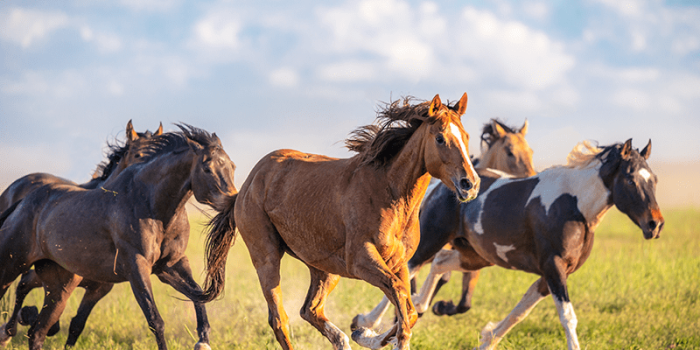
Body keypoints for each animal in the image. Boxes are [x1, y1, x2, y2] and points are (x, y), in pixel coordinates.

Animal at [197, 93, 482, 350]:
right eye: (440, 137)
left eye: (466, 137)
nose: (470, 184)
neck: (388, 194)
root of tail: (246, 185)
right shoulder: (361, 260)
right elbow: (400, 299)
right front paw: (373, 334)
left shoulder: (399, 262)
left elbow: (407, 309)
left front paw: (365, 333)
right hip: (266, 257)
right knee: (280, 320)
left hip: (324, 268)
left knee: (310, 310)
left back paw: (346, 339)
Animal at [352, 119, 540, 330]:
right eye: (510, 152)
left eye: (530, 151)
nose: (532, 176)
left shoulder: (471, 256)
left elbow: (464, 301)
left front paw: (440, 306)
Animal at [404, 139, 660, 350]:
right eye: (630, 180)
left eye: (654, 180)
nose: (655, 224)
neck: (575, 207)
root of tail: (439, 186)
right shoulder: (553, 268)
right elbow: (567, 317)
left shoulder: (551, 275)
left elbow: (520, 313)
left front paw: (486, 340)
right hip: (431, 241)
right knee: (408, 270)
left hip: (477, 256)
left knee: (439, 263)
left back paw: (420, 306)